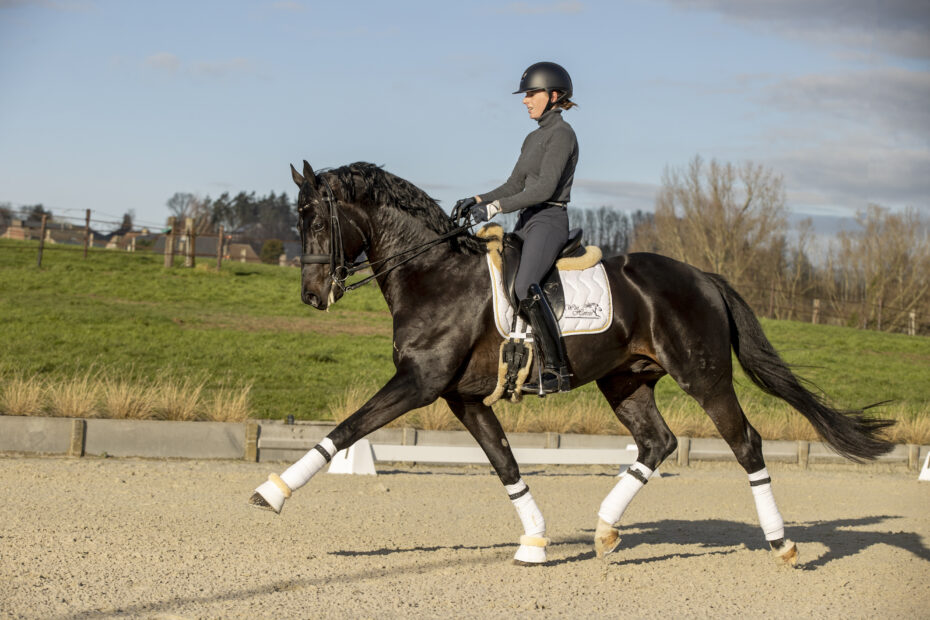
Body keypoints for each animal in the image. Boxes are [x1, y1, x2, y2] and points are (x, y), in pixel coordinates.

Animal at [250, 161, 888, 568]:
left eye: (316, 219)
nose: (312, 295)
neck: (433, 273)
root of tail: (704, 277)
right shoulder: (462, 397)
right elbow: (504, 463)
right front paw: (534, 542)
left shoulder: (419, 382)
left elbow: (348, 428)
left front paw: (272, 492)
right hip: (625, 380)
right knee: (657, 443)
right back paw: (605, 531)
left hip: (704, 377)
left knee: (745, 444)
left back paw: (782, 545)